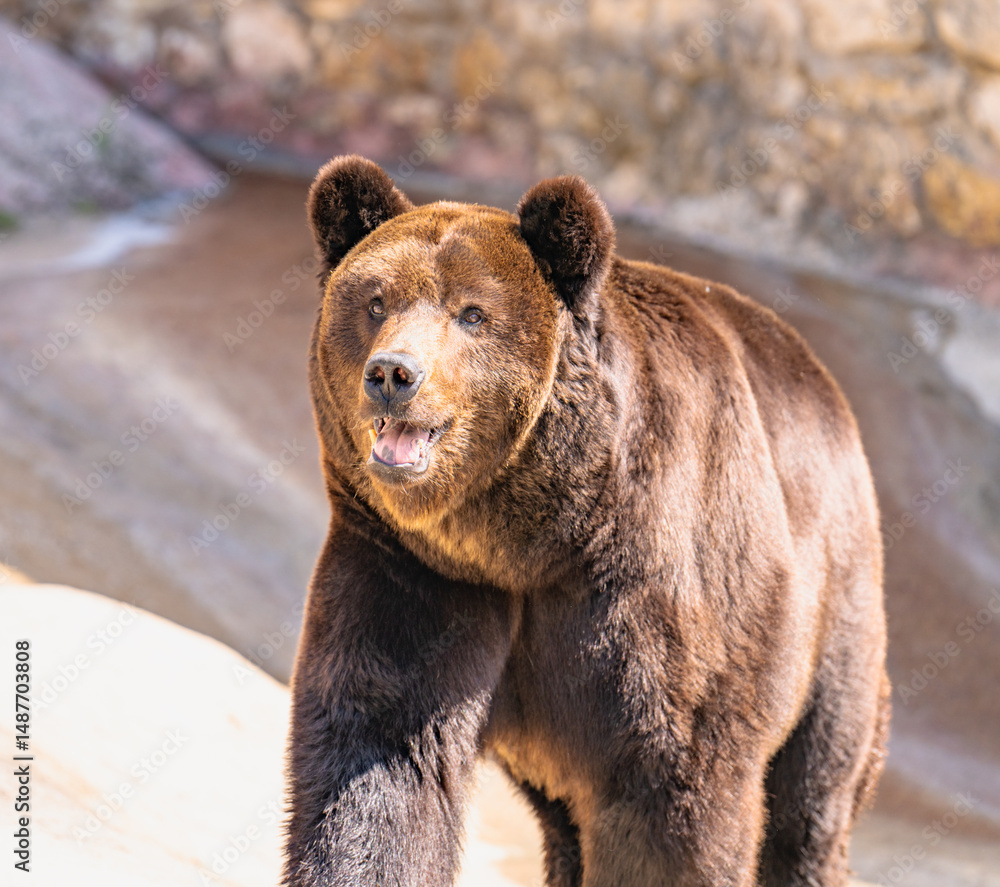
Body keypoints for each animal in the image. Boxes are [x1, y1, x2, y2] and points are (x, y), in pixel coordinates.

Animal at [283, 155, 890, 887]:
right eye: (376, 301)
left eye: (472, 313)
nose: (394, 373)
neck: (527, 540)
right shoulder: (414, 570)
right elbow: (381, 762)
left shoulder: (646, 593)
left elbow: (673, 792)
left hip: (833, 619)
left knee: (811, 800)